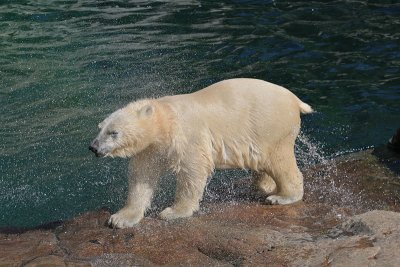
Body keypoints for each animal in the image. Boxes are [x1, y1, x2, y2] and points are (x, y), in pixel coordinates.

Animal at [90, 78, 312, 229]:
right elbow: (142, 177)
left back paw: (281, 197)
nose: (93, 147)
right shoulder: (151, 149)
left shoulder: (188, 136)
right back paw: (263, 187)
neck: (165, 118)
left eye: (113, 132)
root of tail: (295, 100)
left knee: (279, 161)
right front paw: (120, 218)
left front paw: (172, 212)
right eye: (100, 128)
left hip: (270, 127)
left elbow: (192, 171)